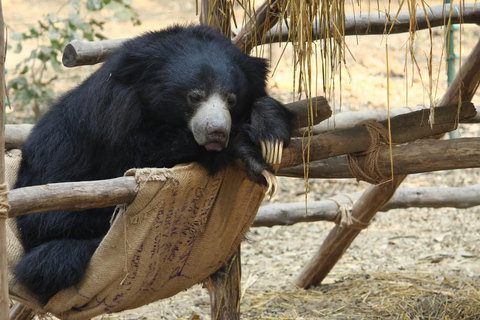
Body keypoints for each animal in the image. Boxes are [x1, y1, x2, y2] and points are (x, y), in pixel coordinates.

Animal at [12, 25, 292, 304]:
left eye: (231, 99)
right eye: (194, 96)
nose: (217, 132)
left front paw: (269, 133)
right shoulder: (110, 134)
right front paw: (244, 149)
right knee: (53, 258)